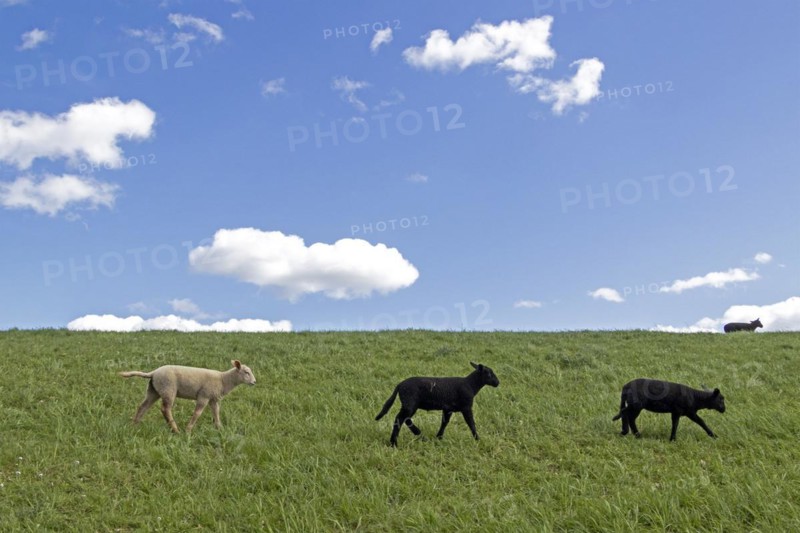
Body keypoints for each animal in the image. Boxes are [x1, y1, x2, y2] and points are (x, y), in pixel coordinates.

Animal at [119, 360, 256, 433]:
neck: (223, 380)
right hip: (168, 389)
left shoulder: (214, 399)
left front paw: (220, 429)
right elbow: (197, 413)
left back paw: (134, 425)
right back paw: (175, 430)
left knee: (143, 406)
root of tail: (153, 373)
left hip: (154, 390)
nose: (254, 382)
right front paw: (188, 430)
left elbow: (216, 413)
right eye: (246, 372)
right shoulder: (204, 396)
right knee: (165, 409)